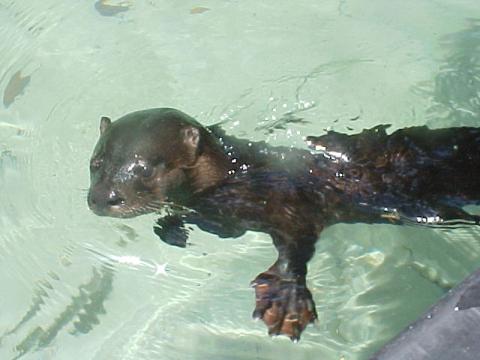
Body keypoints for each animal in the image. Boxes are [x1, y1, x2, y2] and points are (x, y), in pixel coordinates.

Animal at [87, 108, 480, 342]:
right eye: (96, 162)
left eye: (146, 169)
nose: (103, 198)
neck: (235, 178)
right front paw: (173, 227)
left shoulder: (290, 205)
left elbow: (296, 248)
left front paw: (287, 301)